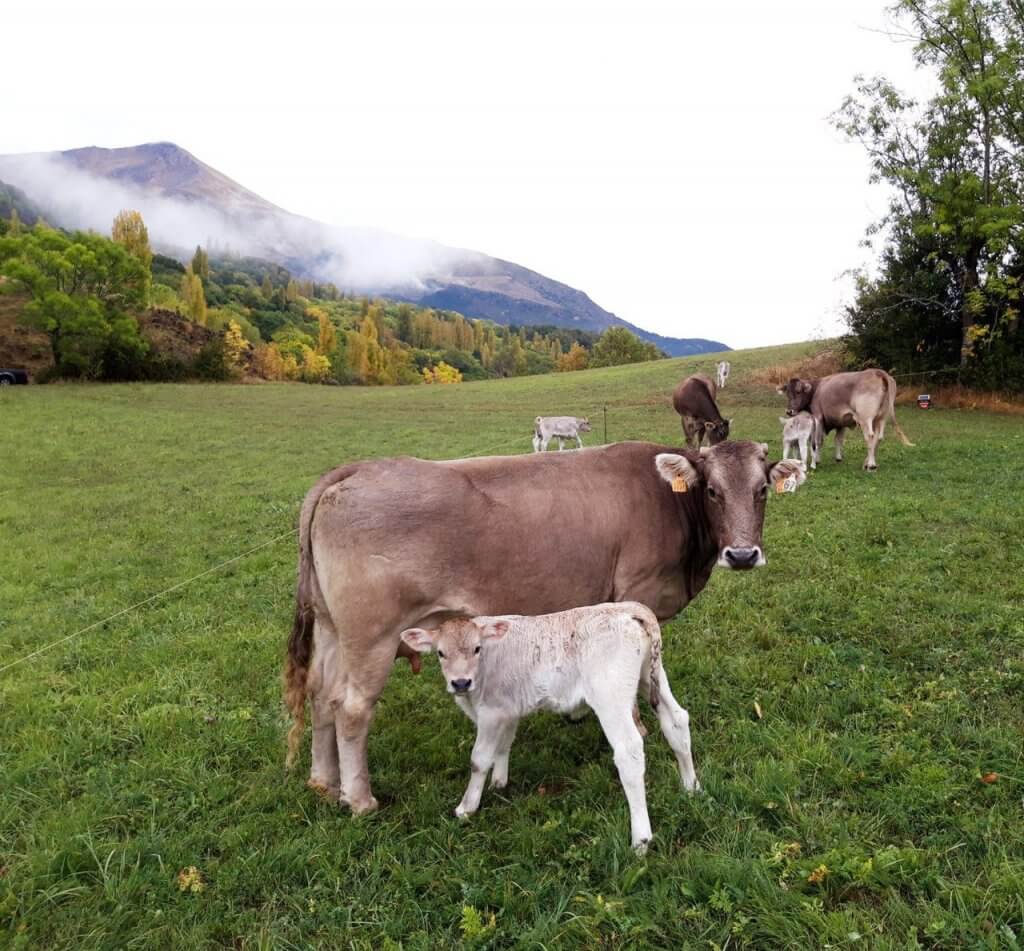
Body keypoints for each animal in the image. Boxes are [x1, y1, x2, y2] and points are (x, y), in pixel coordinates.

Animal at [283, 440, 806, 815]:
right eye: (712, 490)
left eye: (762, 490)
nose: (742, 554)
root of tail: (357, 469)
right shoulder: (638, 594)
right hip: (371, 636)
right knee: (352, 708)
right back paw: (360, 799)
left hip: (331, 630)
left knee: (320, 694)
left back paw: (323, 781)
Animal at [400, 603, 699, 853]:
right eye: (441, 653)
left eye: (476, 649)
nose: (460, 682)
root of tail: (631, 609)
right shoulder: (508, 710)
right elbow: (504, 744)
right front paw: (499, 782)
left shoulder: (491, 712)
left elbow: (479, 759)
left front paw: (467, 807)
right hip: (651, 677)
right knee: (677, 721)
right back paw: (691, 787)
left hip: (610, 694)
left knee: (629, 751)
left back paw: (641, 840)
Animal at [777, 369, 913, 470]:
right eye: (787, 394)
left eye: (798, 391)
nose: (789, 411)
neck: (817, 389)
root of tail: (877, 371)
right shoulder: (841, 422)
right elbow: (838, 440)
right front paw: (838, 458)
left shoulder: (818, 417)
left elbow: (818, 441)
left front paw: (817, 461)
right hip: (881, 418)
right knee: (878, 437)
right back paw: (867, 462)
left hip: (865, 418)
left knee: (870, 437)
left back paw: (871, 465)